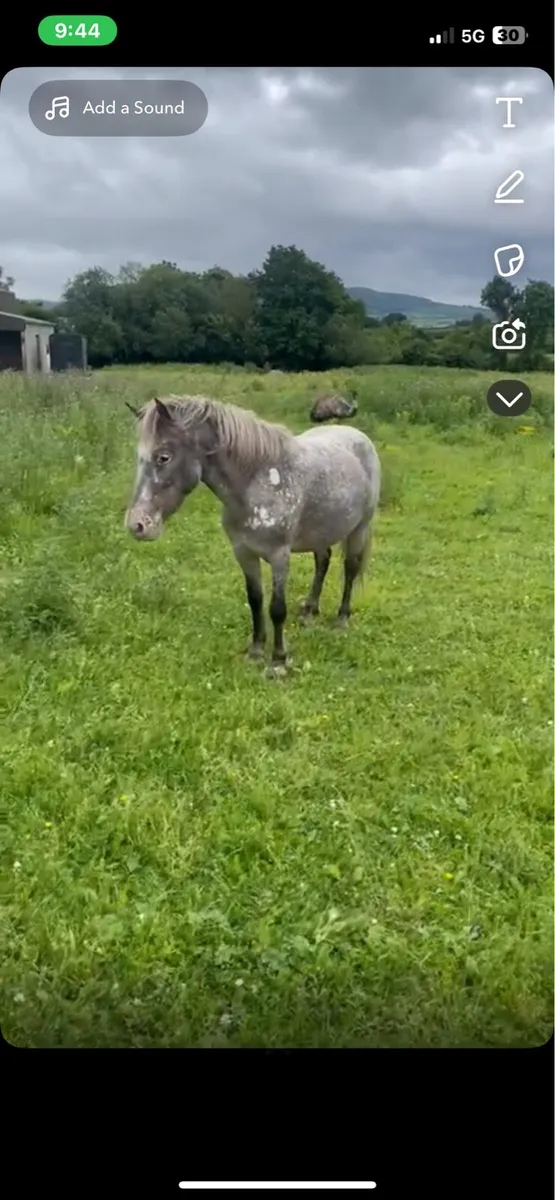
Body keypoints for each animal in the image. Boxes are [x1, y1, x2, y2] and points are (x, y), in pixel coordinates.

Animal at [125, 395, 381, 675]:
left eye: (164, 457)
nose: (137, 525)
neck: (255, 482)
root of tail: (356, 434)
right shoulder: (244, 553)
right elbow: (256, 600)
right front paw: (256, 652)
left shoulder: (280, 556)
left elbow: (277, 608)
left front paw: (278, 661)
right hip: (321, 533)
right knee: (322, 561)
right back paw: (310, 610)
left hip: (360, 528)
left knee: (350, 568)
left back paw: (342, 619)